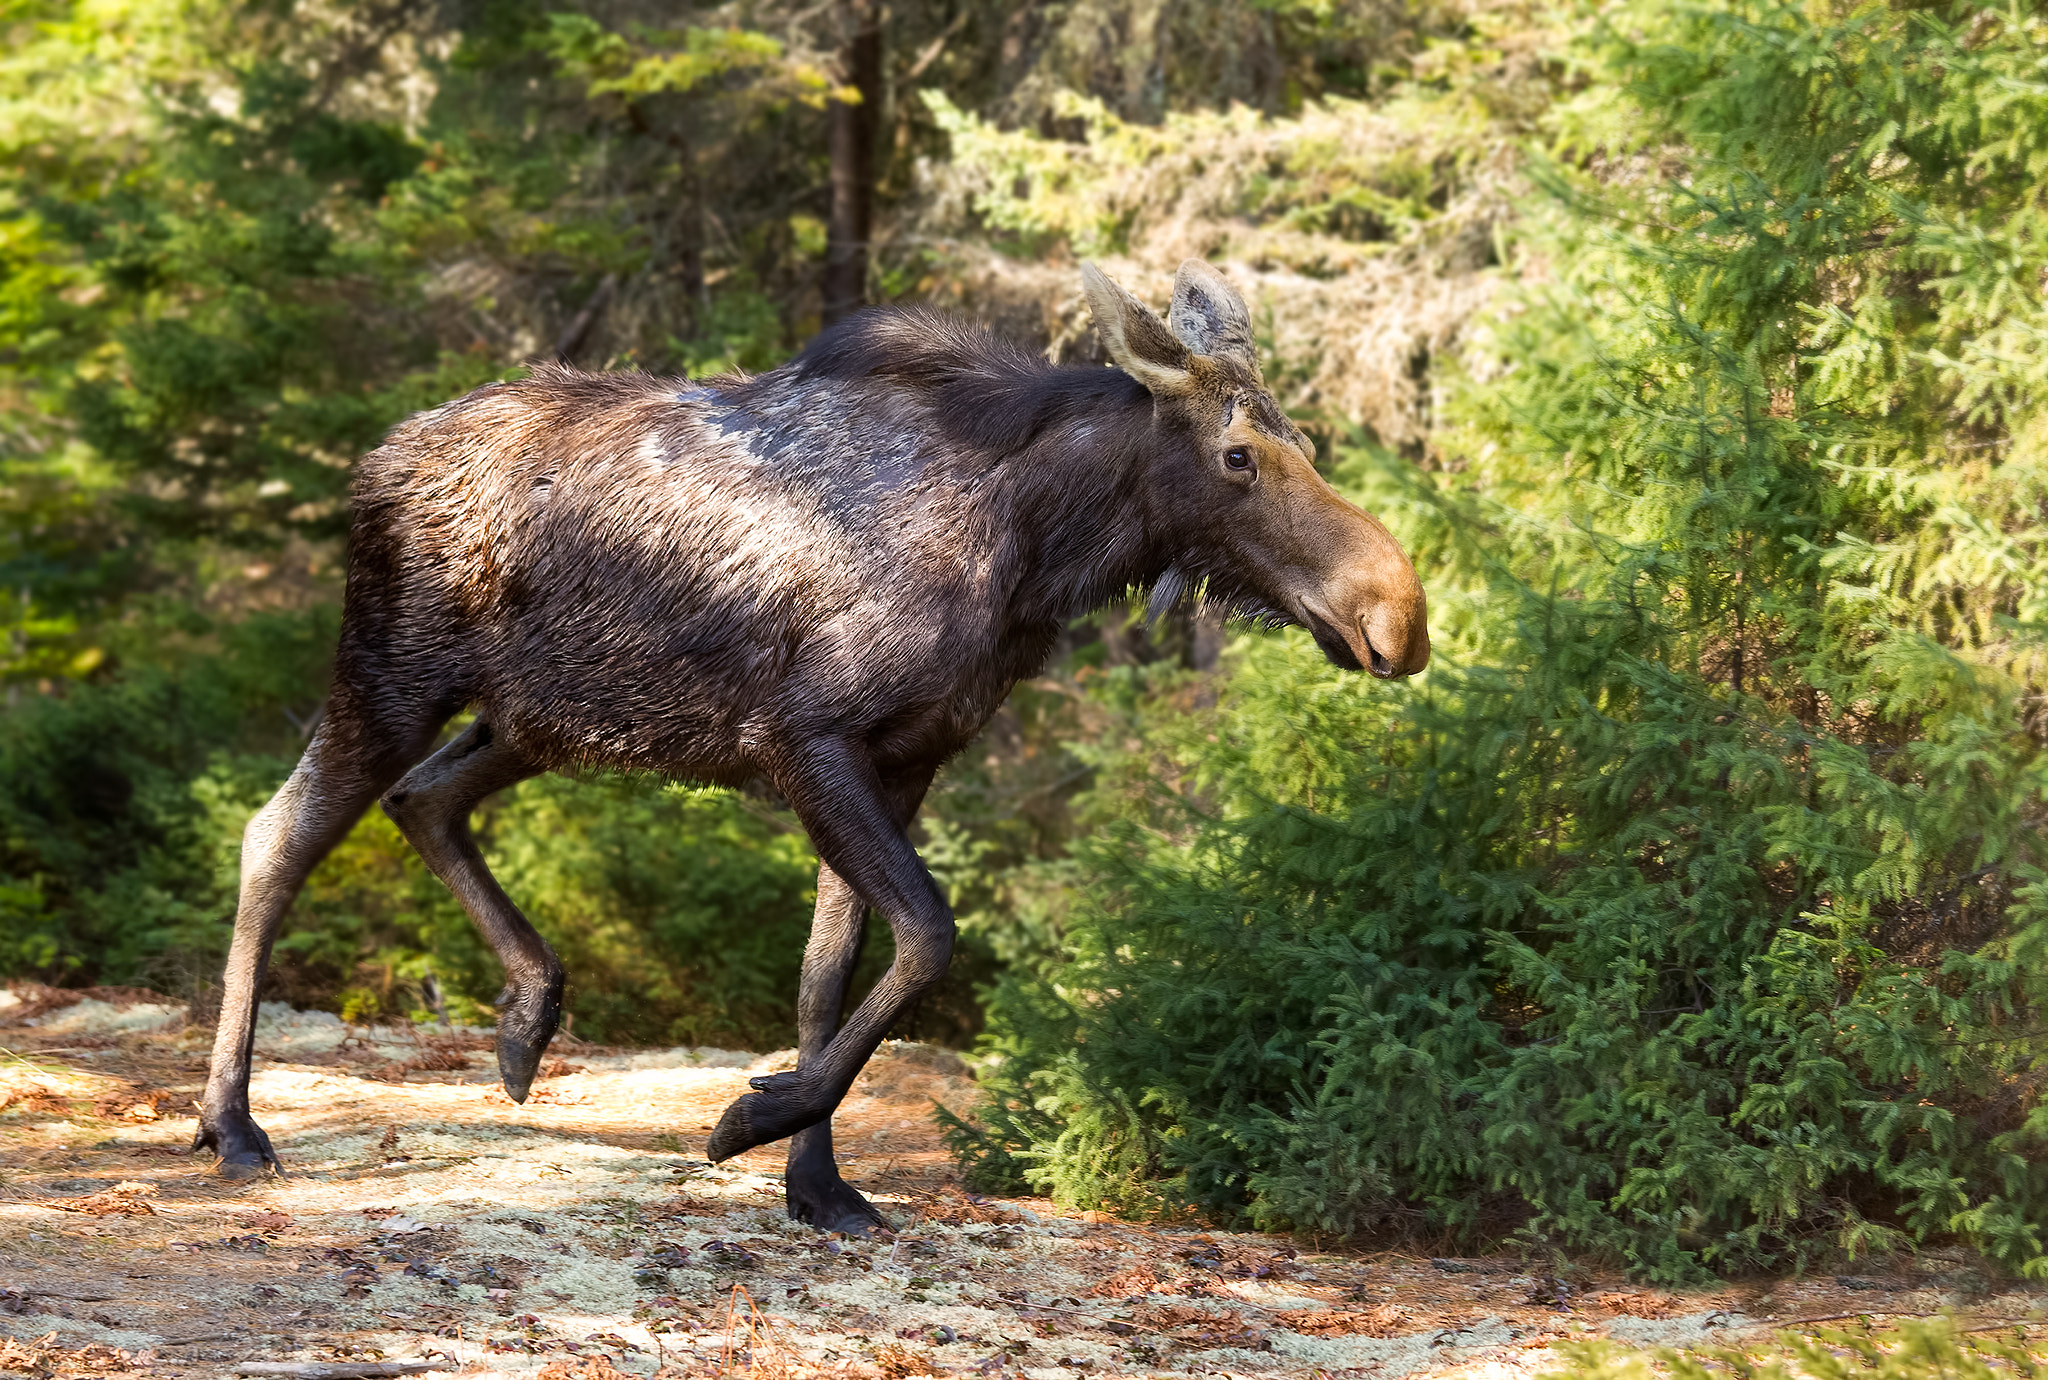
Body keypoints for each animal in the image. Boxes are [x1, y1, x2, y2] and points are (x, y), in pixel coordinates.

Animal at [193, 259, 1430, 1234]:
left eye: (1298, 441)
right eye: (1238, 456)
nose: (1397, 614)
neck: (1039, 549)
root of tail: (370, 465)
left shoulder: (906, 758)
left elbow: (829, 975)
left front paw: (819, 1185)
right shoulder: (808, 738)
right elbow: (926, 937)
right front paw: (754, 1117)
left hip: (540, 715)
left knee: (425, 798)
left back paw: (526, 1017)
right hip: (393, 670)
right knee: (278, 833)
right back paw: (233, 1123)